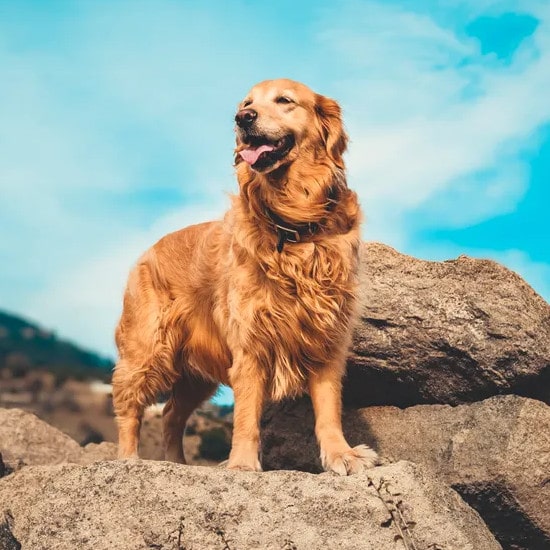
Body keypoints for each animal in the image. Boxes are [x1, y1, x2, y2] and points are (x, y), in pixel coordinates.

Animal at [112, 80, 380, 476]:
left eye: (284, 100)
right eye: (246, 103)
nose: (243, 118)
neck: (293, 224)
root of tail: (146, 252)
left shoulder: (326, 337)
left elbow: (329, 409)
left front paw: (341, 454)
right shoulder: (250, 342)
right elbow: (246, 414)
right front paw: (240, 463)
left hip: (195, 375)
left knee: (172, 414)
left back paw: (178, 463)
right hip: (148, 347)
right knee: (130, 404)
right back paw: (129, 458)